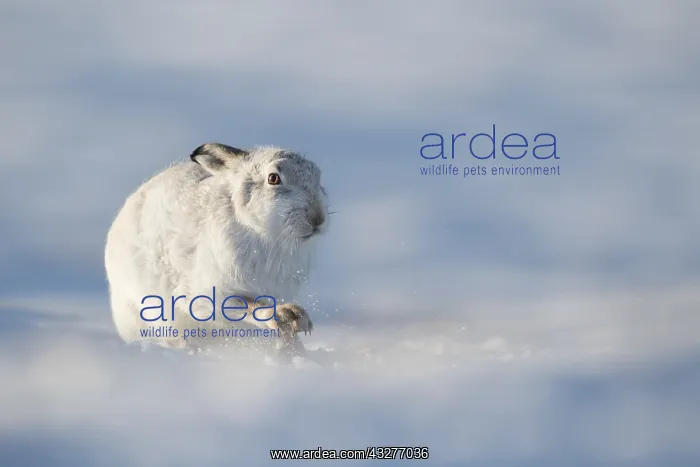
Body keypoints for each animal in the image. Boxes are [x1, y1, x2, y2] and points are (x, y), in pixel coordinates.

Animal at [104, 143, 329, 354]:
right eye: (273, 178)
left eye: (318, 177)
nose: (317, 219)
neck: (266, 234)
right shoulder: (207, 295)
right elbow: (249, 305)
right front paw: (287, 315)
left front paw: (296, 342)